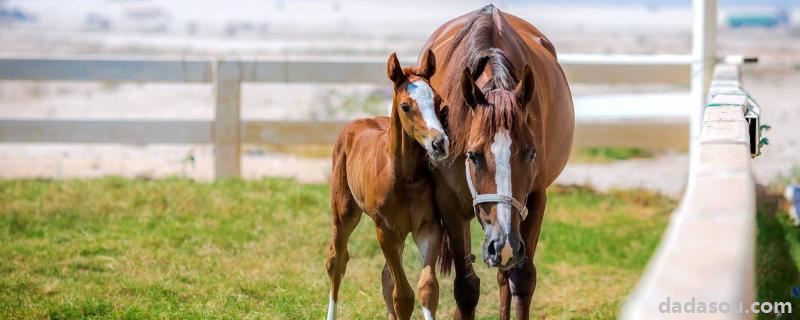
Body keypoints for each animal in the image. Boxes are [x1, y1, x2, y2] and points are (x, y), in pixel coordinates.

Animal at [324, 50, 450, 320]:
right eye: (405, 106)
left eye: (438, 101)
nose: (439, 143)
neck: (405, 177)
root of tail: (355, 123)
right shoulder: (386, 230)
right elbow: (403, 296)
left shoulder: (428, 227)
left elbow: (426, 289)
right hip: (344, 214)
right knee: (336, 261)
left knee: (385, 276)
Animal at [422, 5, 572, 320]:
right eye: (473, 155)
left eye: (531, 154)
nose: (502, 245)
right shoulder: (450, 204)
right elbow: (466, 289)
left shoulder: (535, 200)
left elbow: (522, 279)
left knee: (507, 278)